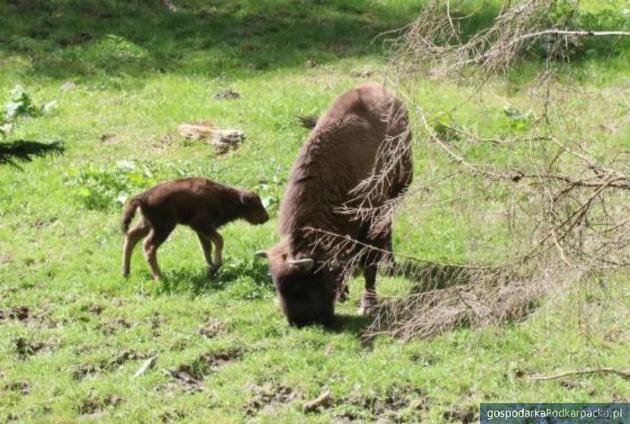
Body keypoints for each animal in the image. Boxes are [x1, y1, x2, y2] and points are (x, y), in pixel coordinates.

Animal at [123, 176, 270, 280]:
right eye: (256, 204)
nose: (266, 217)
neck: (224, 197)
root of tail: (142, 197)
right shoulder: (201, 225)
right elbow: (219, 240)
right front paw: (216, 266)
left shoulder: (200, 230)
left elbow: (207, 248)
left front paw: (211, 269)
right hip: (163, 227)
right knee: (148, 247)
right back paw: (160, 278)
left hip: (147, 224)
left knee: (131, 236)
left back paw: (126, 273)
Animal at [258, 83, 412, 328]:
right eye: (277, 287)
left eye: (303, 286)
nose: (298, 322)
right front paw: (343, 292)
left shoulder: (372, 220)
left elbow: (370, 263)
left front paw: (368, 305)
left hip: (398, 192)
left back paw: (389, 264)